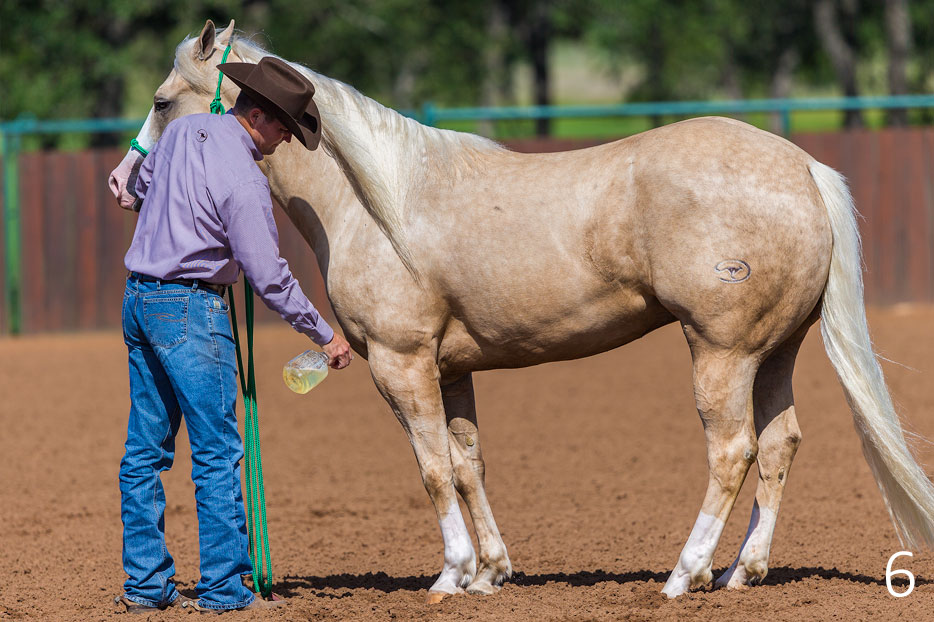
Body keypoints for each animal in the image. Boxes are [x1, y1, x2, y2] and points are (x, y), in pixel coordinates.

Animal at [109, 19, 934, 600]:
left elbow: (431, 469)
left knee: (733, 451)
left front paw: (450, 575)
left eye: (160, 101)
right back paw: (742, 572)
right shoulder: (451, 371)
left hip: (721, 353)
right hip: (775, 352)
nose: (123, 183)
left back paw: (684, 574)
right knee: (780, 443)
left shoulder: (401, 366)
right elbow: (467, 464)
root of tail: (801, 166)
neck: (375, 204)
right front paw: (490, 572)